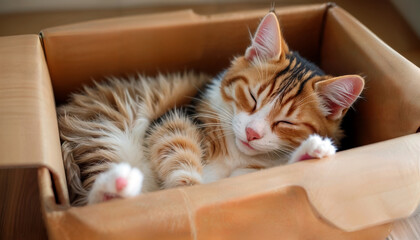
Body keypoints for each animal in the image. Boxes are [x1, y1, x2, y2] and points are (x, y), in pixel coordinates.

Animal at [58, 12, 364, 205]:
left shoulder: (251, 174)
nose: (252, 133)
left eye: (286, 122)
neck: (236, 155)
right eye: (252, 97)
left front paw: (310, 152)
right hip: (104, 132)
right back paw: (118, 185)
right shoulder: (175, 118)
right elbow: (181, 160)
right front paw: (191, 190)